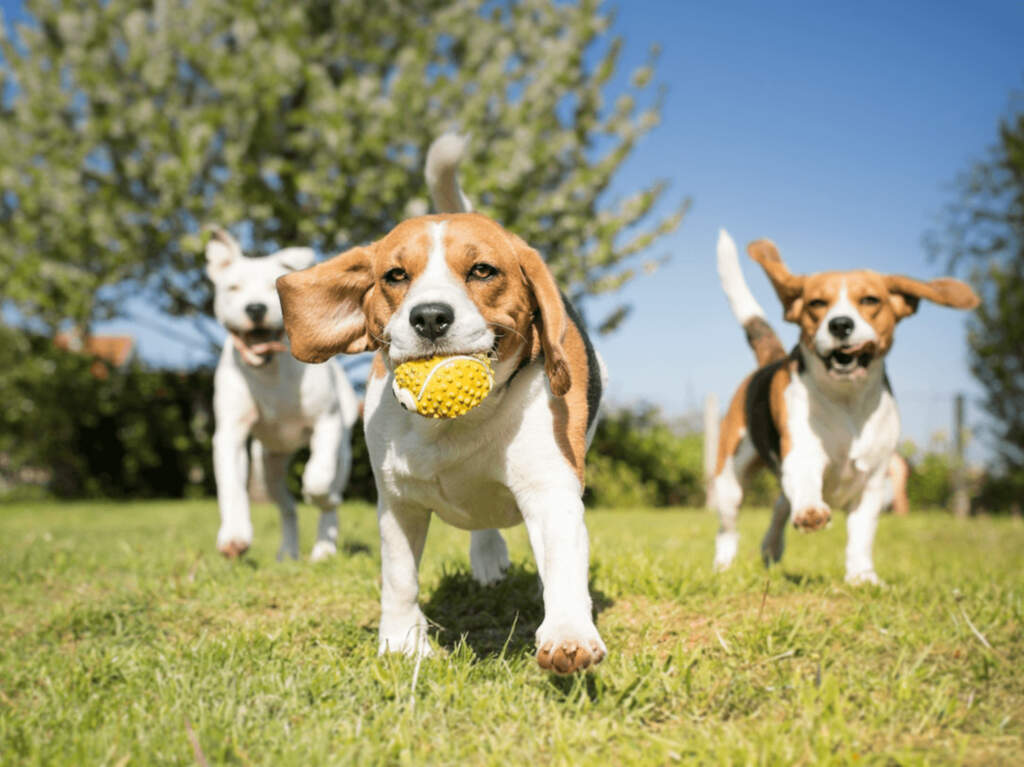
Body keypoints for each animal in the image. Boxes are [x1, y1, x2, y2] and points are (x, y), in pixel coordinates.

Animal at [203, 230, 360, 561]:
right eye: (233, 287)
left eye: (272, 287)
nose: (255, 308)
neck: (270, 371)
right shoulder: (230, 434)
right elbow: (231, 486)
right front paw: (234, 536)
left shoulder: (327, 422)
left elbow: (318, 478)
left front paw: (318, 493)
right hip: (268, 466)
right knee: (287, 507)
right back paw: (287, 551)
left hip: (343, 450)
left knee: (330, 494)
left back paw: (324, 548)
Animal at [274, 136, 606, 671]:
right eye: (394, 275)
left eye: (483, 270)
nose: (429, 317)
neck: (455, 425)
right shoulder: (397, 502)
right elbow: (399, 579)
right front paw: (402, 643)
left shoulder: (550, 488)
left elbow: (562, 566)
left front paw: (568, 634)